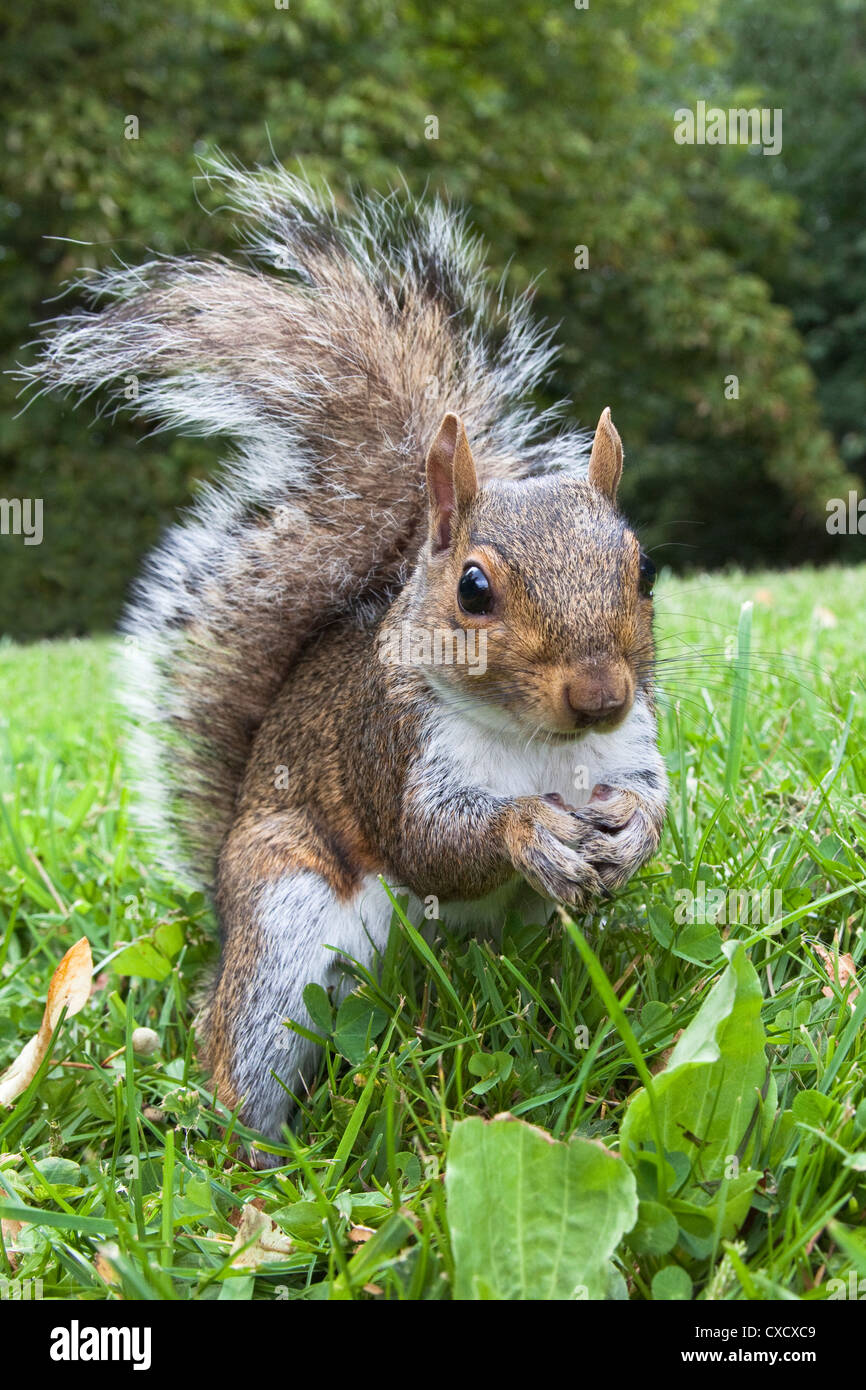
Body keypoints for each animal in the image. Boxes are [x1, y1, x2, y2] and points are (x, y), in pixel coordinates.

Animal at [23, 159, 667, 1162]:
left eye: (643, 570)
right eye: (473, 589)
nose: (600, 695)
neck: (540, 746)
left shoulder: (630, 745)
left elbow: (653, 797)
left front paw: (633, 830)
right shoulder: (389, 749)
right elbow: (432, 846)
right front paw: (525, 829)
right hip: (283, 925)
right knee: (241, 1046)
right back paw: (260, 1164)